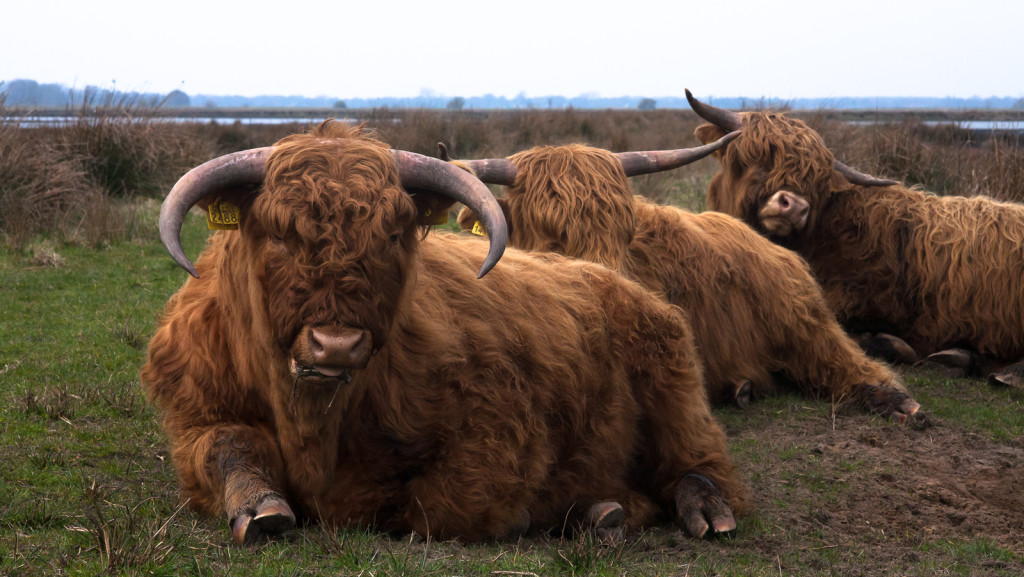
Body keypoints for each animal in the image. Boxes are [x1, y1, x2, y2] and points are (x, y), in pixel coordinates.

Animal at [140, 121, 749, 545]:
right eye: (278, 234)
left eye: (391, 235)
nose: (336, 344)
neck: (315, 416)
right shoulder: (197, 412)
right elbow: (228, 449)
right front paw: (262, 508)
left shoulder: (496, 430)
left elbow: (439, 505)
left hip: (674, 385)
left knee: (696, 462)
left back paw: (695, 510)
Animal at [448, 140, 921, 420]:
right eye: (553, 239)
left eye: (626, 233)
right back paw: (742, 388)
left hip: (802, 320)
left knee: (844, 359)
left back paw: (898, 400)